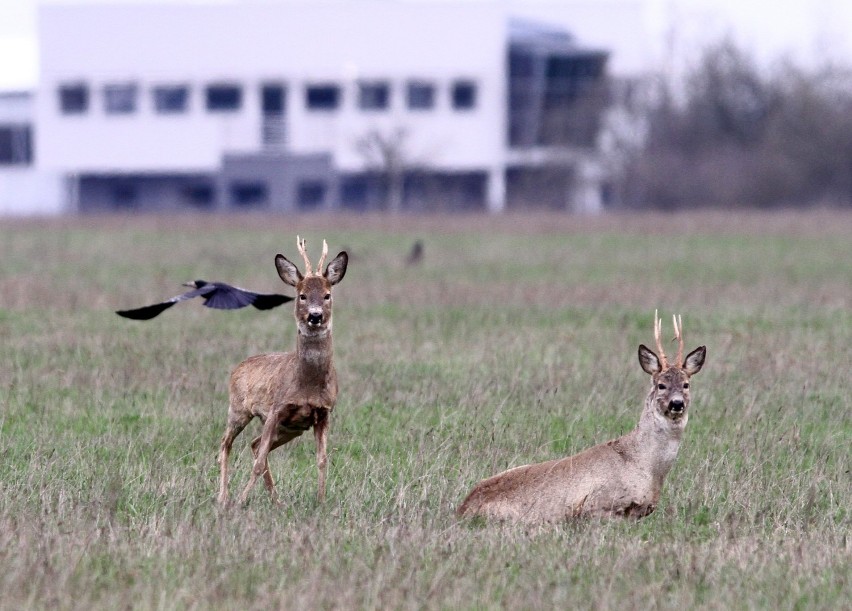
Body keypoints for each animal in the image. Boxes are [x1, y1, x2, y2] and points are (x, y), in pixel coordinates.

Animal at [220, 237, 352, 504]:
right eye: (301, 295)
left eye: (327, 295)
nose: (315, 316)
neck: (307, 385)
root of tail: (238, 367)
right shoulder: (275, 410)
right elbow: (258, 464)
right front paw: (240, 501)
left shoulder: (323, 413)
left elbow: (322, 461)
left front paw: (321, 501)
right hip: (238, 409)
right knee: (226, 445)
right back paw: (223, 497)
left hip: (292, 429)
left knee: (254, 444)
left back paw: (277, 501)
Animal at [460, 314, 704, 524]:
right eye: (661, 384)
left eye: (686, 384)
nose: (676, 404)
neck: (644, 465)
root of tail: (462, 508)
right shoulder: (595, 506)